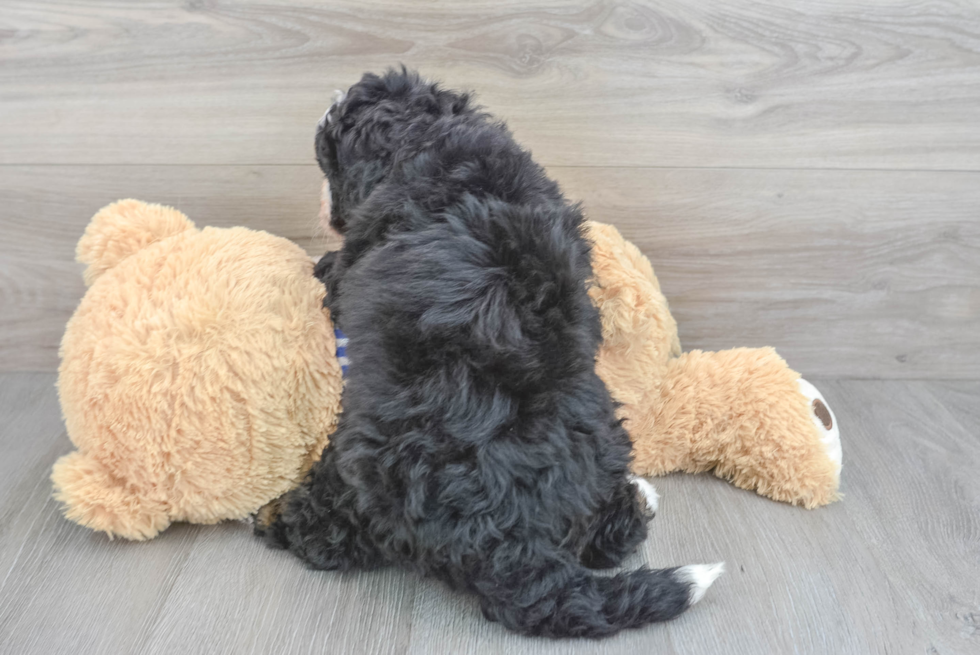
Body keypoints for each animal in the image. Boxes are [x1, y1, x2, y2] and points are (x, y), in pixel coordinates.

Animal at [256, 69, 724, 640]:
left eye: (328, 155)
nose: (324, 203)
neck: (429, 135)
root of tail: (515, 547)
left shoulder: (352, 265)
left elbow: (333, 273)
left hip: (363, 465)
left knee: (332, 536)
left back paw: (277, 517)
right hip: (604, 431)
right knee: (614, 532)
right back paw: (637, 497)